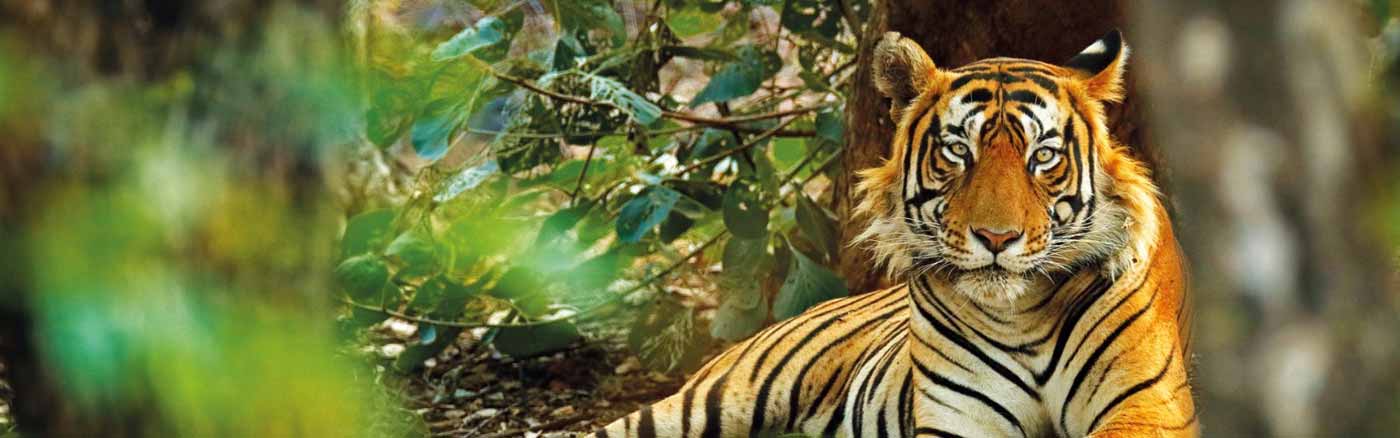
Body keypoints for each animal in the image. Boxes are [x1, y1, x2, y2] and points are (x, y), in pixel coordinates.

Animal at [593, 30, 1196, 437]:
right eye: (958, 150)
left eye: (1042, 156)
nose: (997, 238)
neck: (1021, 314)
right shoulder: (960, 420)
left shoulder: (1148, 406)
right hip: (710, 402)